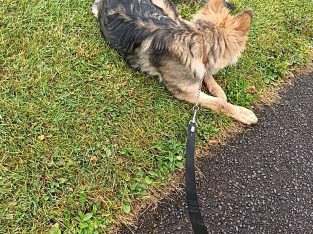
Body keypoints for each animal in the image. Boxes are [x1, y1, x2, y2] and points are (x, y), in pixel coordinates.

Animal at [91, 0, 258, 124]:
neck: (199, 43)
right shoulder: (185, 92)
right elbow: (219, 103)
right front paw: (241, 112)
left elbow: (207, 77)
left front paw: (218, 90)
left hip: (171, 15)